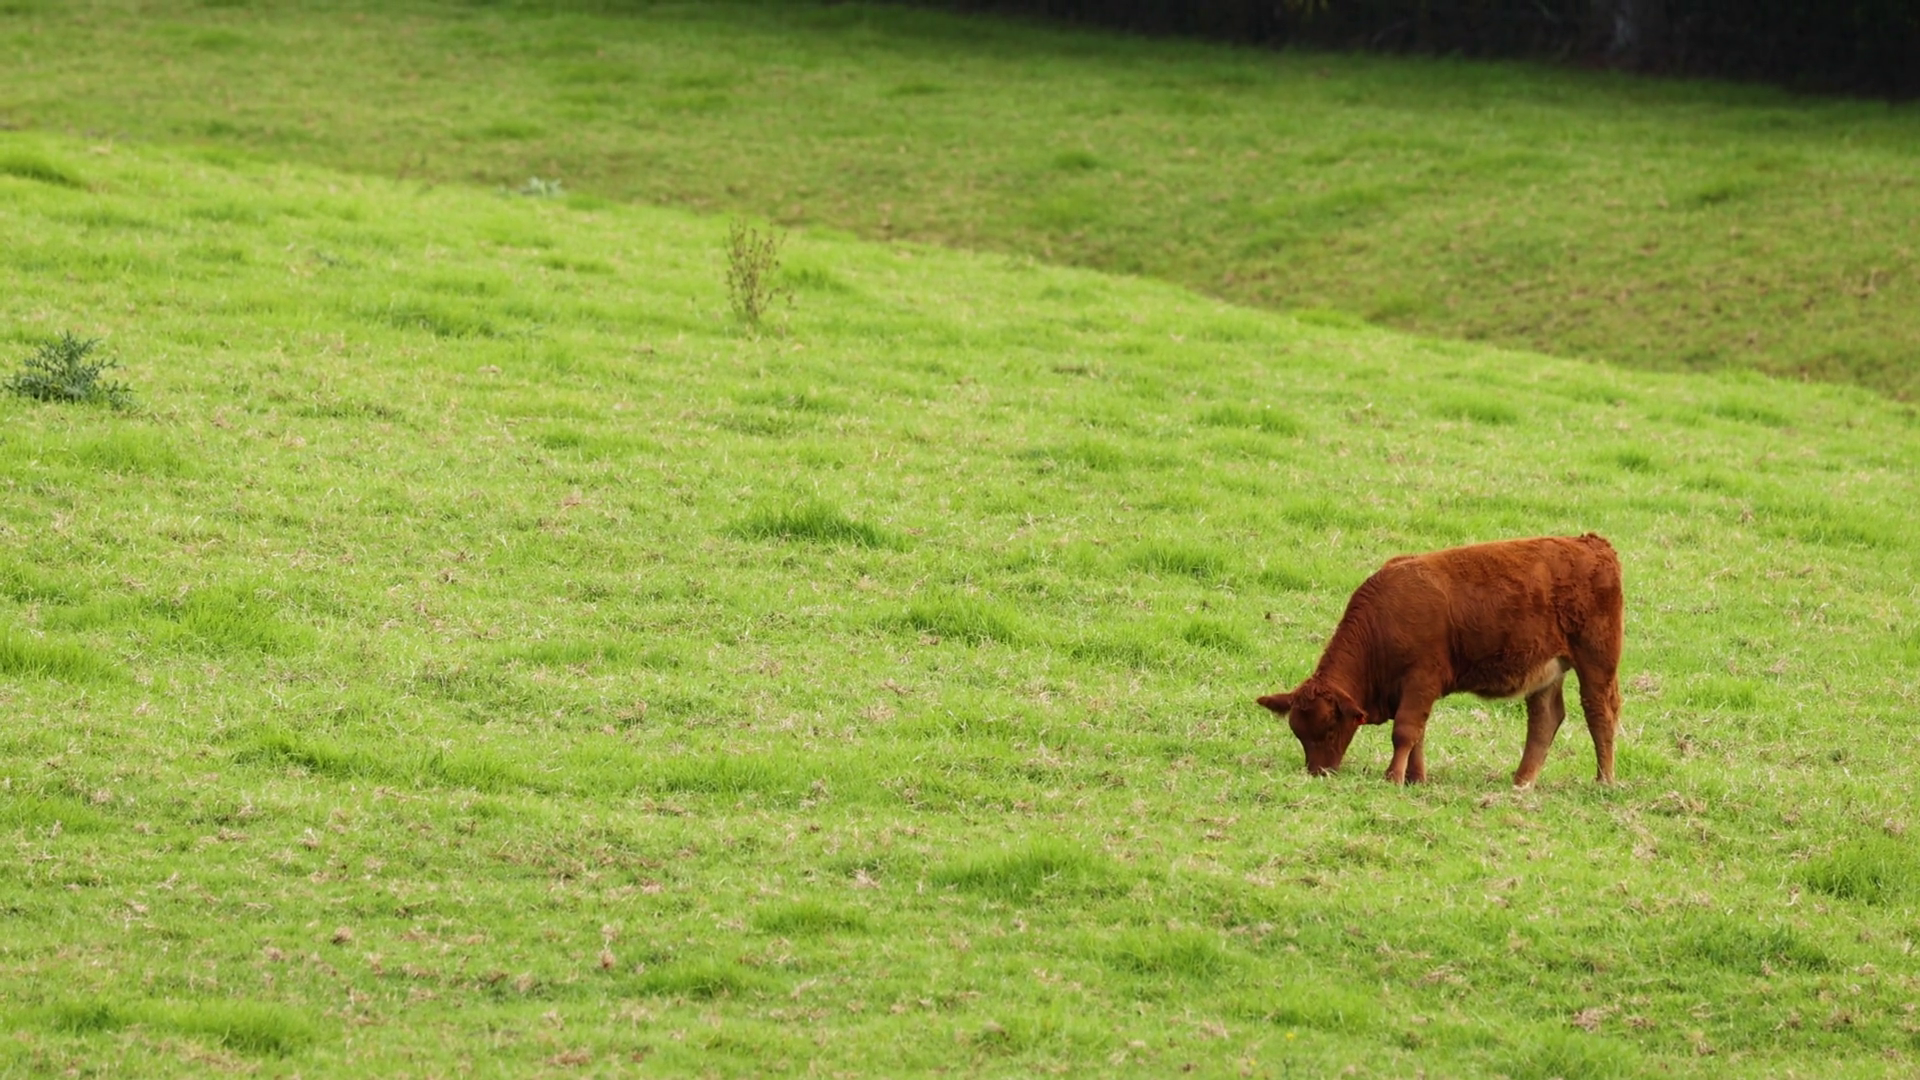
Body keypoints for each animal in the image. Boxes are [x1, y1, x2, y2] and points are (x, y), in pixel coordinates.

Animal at [1256, 534, 1623, 787]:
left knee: (1599, 712)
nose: (1319, 772)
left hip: (1597, 660)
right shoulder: (1412, 691)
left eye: (1331, 727)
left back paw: (1604, 780)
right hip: (1545, 671)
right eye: (1299, 733)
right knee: (1545, 720)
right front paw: (1415, 778)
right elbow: (1418, 733)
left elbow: (1405, 731)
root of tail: (1591, 543)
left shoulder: (1421, 680)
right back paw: (1522, 782)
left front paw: (1393, 777)